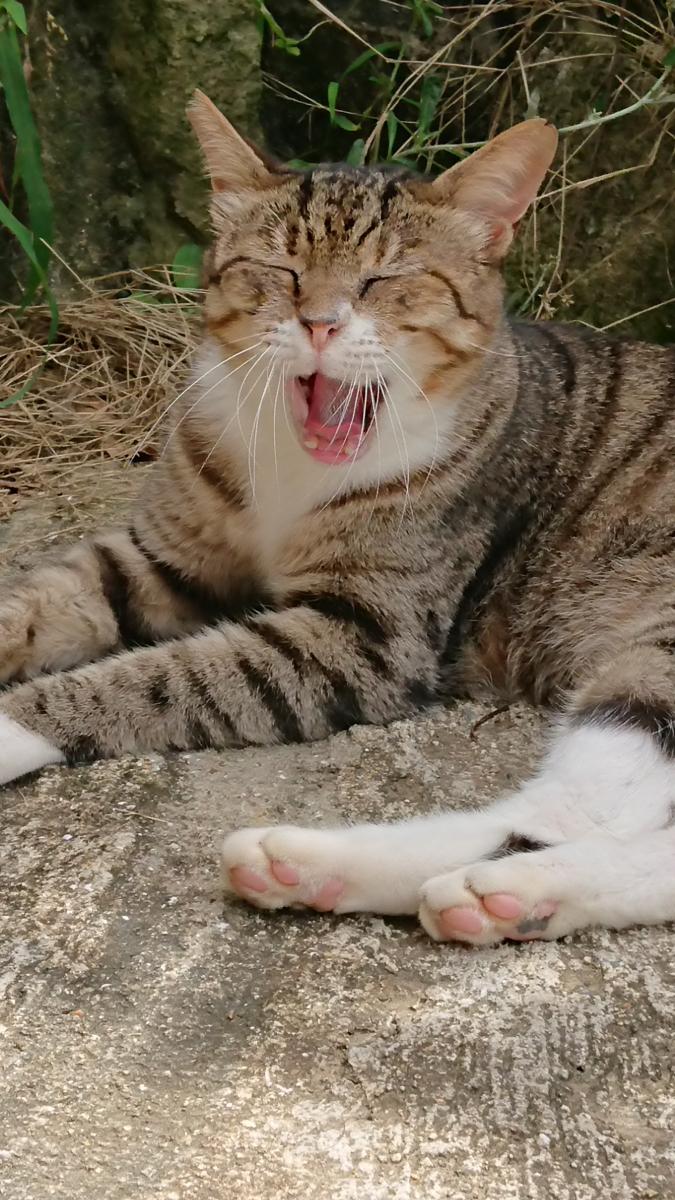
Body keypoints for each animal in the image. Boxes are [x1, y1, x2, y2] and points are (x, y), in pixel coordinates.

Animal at [1, 90, 674, 947]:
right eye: (282, 271)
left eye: (384, 280)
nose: (320, 323)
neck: (294, 468)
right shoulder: (157, 558)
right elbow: (40, 599)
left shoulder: (367, 638)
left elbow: (152, 678)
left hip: (659, 647)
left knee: (570, 810)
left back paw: (435, 881)